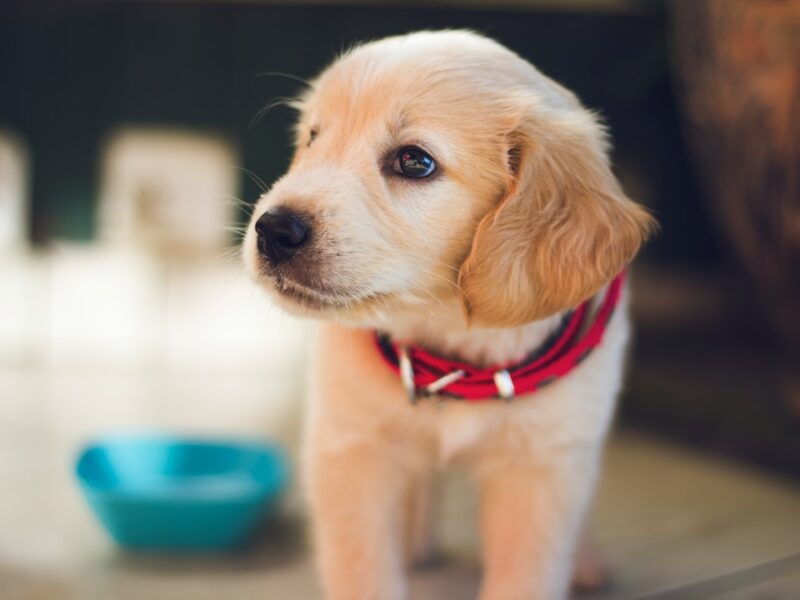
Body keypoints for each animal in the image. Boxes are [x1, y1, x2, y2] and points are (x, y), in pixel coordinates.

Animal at [241, 29, 652, 600]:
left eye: (415, 162)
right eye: (312, 138)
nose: (273, 230)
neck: (451, 344)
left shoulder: (543, 468)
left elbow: (527, 573)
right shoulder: (351, 450)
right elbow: (362, 569)